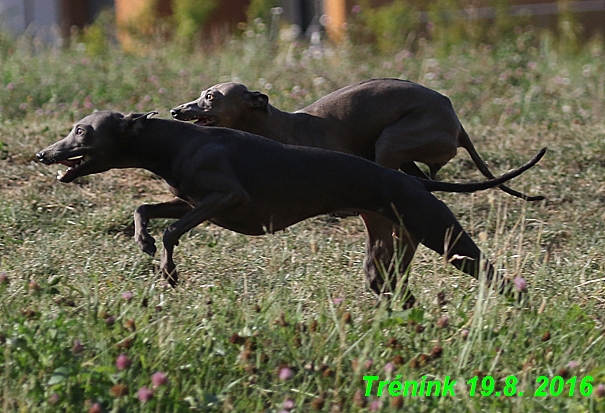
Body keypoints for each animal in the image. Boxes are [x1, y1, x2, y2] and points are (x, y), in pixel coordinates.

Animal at [34, 111, 544, 304]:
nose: (43, 154)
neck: (174, 140)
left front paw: (169, 270)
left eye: (81, 131)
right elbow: (146, 210)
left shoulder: (224, 198)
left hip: (446, 238)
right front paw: (143, 243)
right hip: (387, 253)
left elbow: (172, 231)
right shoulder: (188, 200)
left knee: (496, 276)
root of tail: (414, 179)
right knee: (397, 292)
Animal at [169, 79, 544, 294]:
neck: (280, 127)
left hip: (393, 141)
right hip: (400, 152)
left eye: (211, 96)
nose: (175, 111)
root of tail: (457, 123)